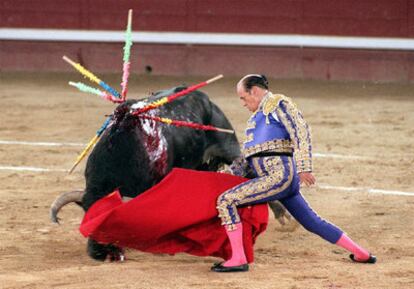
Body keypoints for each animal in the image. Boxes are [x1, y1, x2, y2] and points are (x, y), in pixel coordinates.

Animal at [50, 86, 290, 260]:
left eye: (110, 221)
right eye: (86, 216)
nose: (99, 252)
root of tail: (202, 97)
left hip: (228, 147)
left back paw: (284, 217)